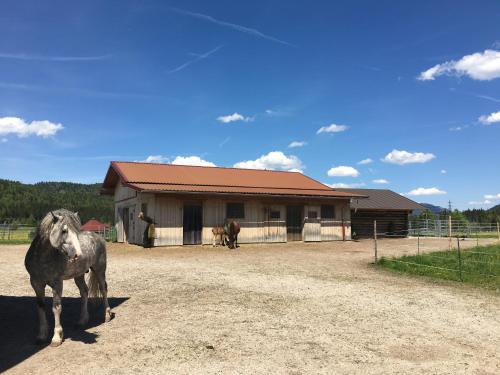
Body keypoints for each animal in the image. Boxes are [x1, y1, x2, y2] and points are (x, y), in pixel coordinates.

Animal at [24, 210, 113, 348]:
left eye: (76, 232)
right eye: (64, 231)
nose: (78, 255)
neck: (42, 258)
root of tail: (98, 237)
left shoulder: (57, 283)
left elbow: (56, 308)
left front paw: (56, 338)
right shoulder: (36, 283)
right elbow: (41, 307)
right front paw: (41, 336)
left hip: (99, 270)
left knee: (104, 289)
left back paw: (107, 315)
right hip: (79, 275)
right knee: (84, 292)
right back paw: (82, 321)